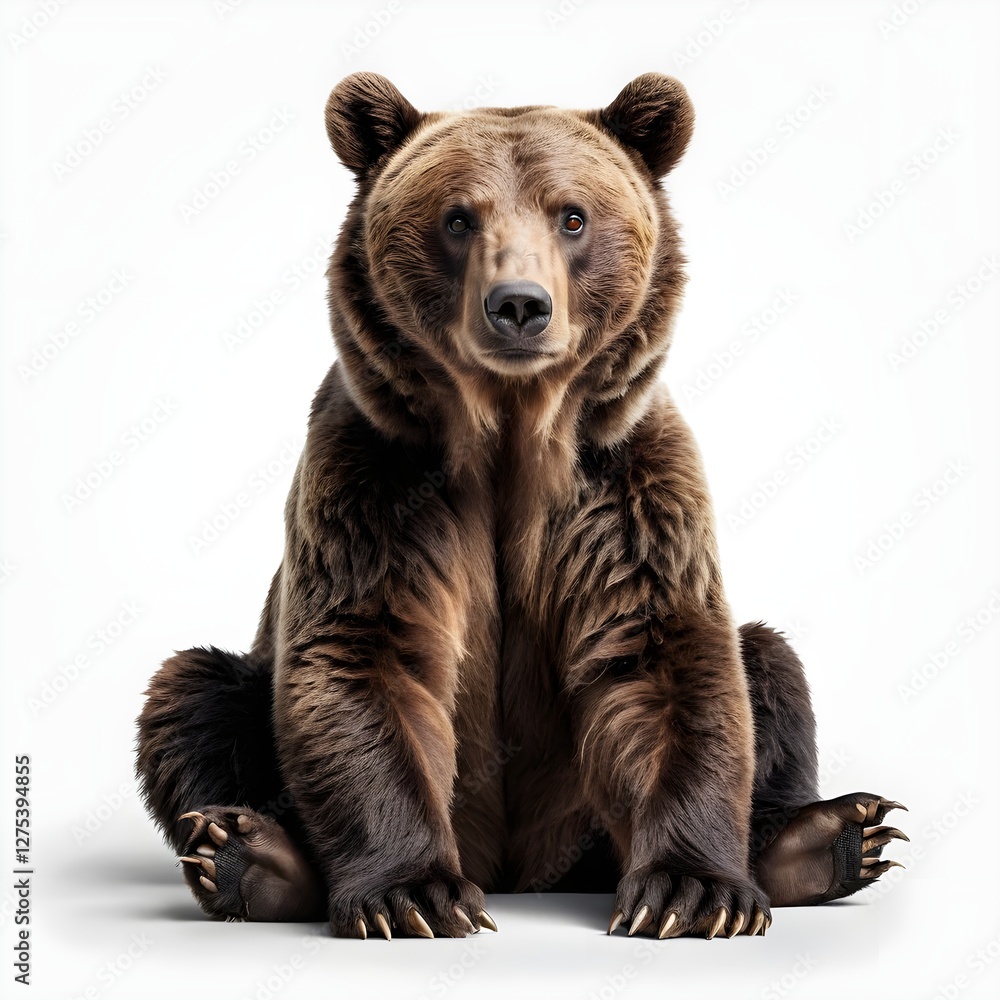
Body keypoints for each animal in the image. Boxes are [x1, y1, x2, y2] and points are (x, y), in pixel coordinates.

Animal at [136, 72, 907, 940]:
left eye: (572, 215)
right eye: (457, 218)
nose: (519, 305)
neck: (511, 431)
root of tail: (520, 873)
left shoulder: (624, 490)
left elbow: (666, 659)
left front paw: (691, 891)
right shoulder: (378, 482)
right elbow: (364, 654)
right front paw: (413, 893)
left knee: (769, 664)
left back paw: (827, 838)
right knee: (193, 697)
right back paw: (251, 855)